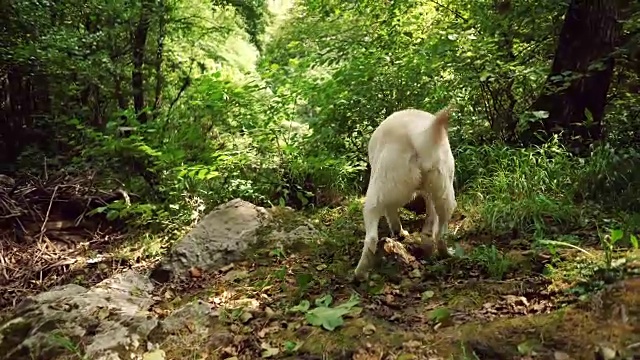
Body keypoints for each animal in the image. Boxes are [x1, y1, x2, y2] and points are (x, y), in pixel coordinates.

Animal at [356, 105, 456, 280]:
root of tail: (418, 137)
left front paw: (400, 232)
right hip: (445, 194)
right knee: (440, 233)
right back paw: (445, 254)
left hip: (375, 194)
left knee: (371, 237)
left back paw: (359, 273)